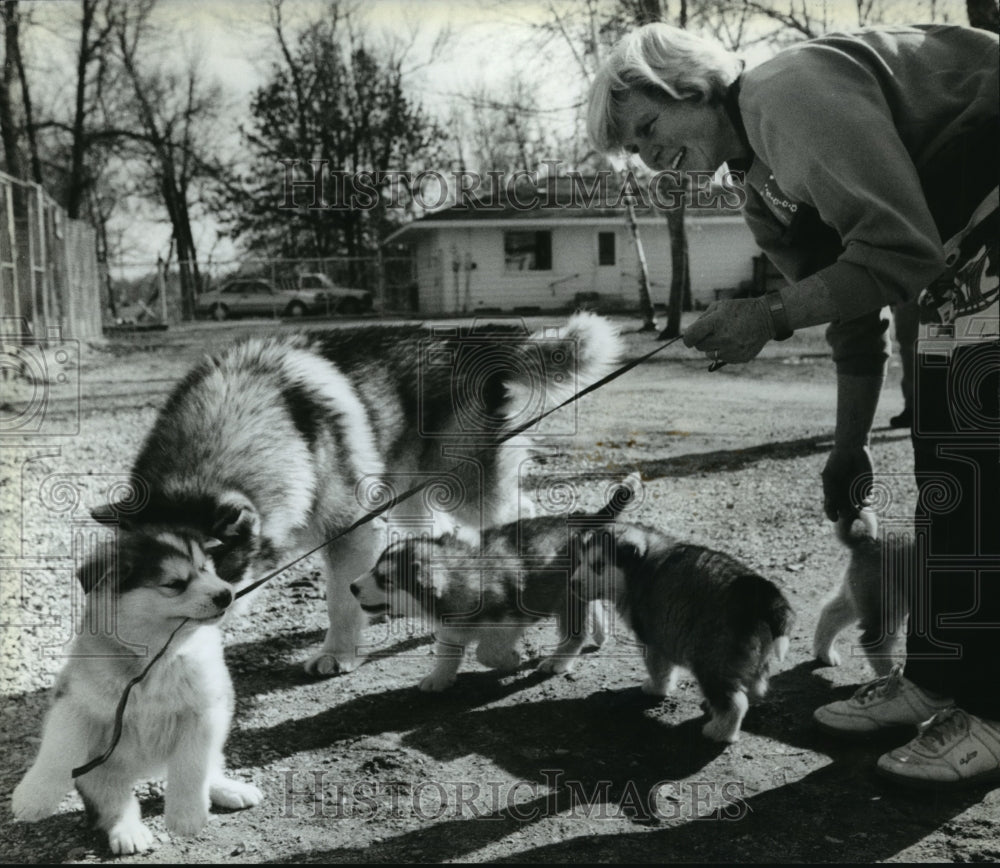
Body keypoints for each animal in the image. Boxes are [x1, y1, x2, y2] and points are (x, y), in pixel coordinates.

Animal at [11, 528, 260, 856]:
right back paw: (127, 831)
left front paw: (186, 816)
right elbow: (57, 750)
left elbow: (192, 765)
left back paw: (230, 790)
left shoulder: (204, 709)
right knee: (114, 802)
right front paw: (32, 797)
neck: (156, 656)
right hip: (97, 771)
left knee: (210, 767)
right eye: (175, 584)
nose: (226, 594)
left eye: (205, 568)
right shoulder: (74, 702)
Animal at [90, 316, 620, 676]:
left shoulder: (350, 530)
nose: (214, 605)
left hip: (468, 486)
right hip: (409, 492)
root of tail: (468, 336)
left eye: (210, 562)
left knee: (522, 515)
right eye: (163, 578)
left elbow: (339, 600)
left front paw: (337, 654)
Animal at [576, 512, 792, 744]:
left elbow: (659, 669)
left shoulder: (652, 639)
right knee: (751, 687)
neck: (639, 566)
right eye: (581, 561)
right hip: (752, 656)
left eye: (598, 566)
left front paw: (656, 688)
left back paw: (719, 731)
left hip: (712, 659)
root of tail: (764, 593)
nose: (573, 583)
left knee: (734, 702)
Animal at [812, 508, 916, 680]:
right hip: (890, 606)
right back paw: (895, 679)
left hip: (858, 597)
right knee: (874, 645)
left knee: (830, 613)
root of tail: (866, 540)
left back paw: (825, 655)